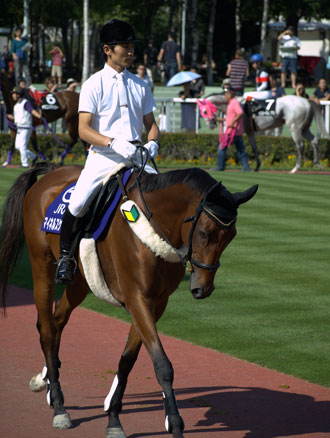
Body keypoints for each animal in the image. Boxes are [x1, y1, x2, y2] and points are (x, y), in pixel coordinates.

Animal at [0, 162, 258, 438]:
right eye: (204, 233)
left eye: (231, 235)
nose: (203, 288)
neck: (152, 224)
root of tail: (51, 172)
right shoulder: (137, 298)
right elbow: (162, 365)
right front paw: (175, 423)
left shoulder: (156, 303)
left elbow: (127, 360)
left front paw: (114, 417)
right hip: (42, 266)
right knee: (47, 329)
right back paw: (59, 406)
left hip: (80, 281)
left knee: (57, 322)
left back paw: (47, 380)